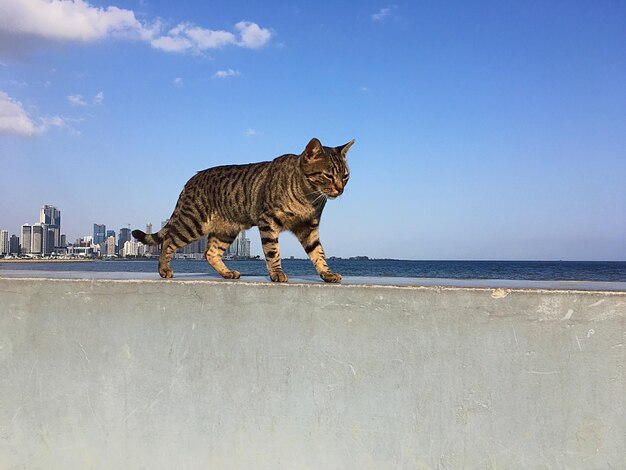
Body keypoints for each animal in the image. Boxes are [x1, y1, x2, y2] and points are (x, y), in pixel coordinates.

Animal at [131, 136, 352, 282]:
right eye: (328, 175)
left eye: (345, 175)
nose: (340, 189)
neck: (309, 197)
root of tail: (191, 180)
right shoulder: (268, 220)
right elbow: (272, 251)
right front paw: (277, 273)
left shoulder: (308, 227)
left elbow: (318, 253)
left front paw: (326, 273)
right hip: (192, 223)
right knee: (168, 240)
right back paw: (164, 269)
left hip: (226, 230)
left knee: (210, 253)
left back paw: (227, 273)